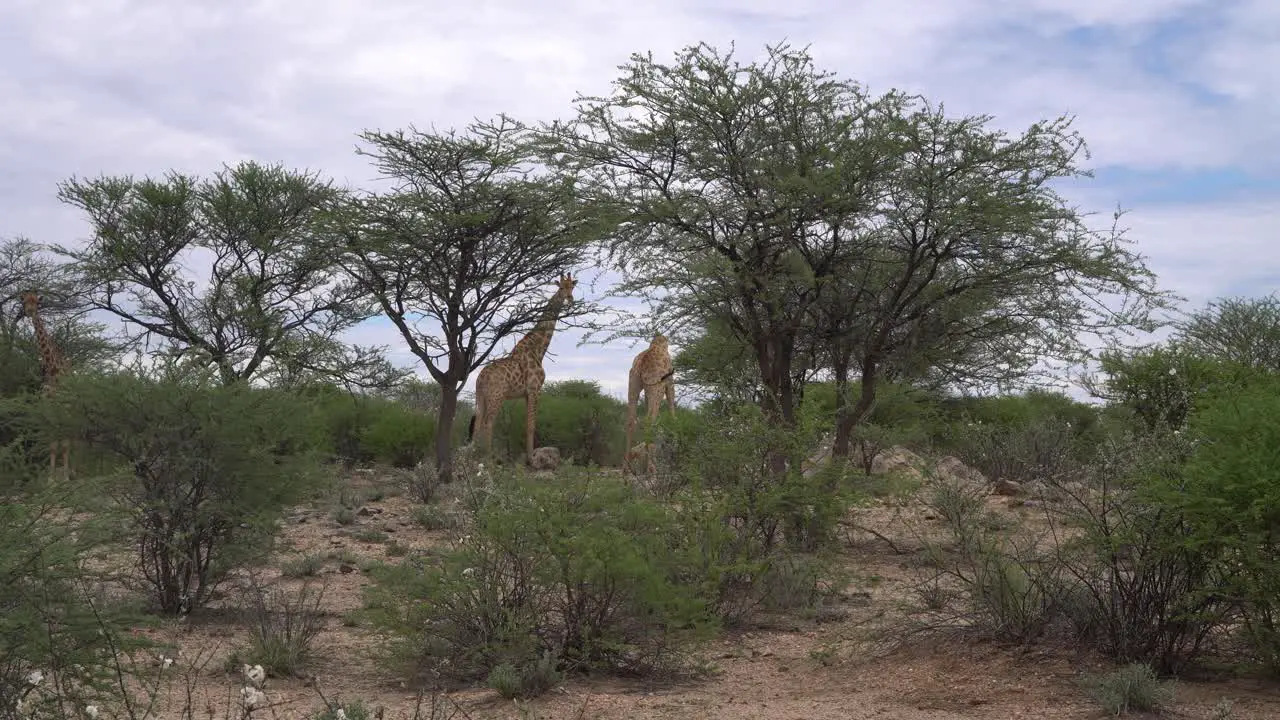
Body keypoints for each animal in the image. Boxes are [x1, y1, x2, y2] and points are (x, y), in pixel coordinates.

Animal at [17, 288, 72, 479]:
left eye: (37, 301)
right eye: (24, 301)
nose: (29, 311)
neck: (53, 369)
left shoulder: (63, 407)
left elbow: (64, 442)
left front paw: (65, 478)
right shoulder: (48, 407)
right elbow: (52, 443)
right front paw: (51, 479)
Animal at [465, 271, 576, 461]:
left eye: (572, 287)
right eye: (561, 287)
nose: (570, 299)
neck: (538, 349)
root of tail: (480, 379)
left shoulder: (525, 394)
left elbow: (526, 424)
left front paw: (529, 456)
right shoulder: (534, 389)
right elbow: (531, 425)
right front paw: (531, 458)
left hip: (481, 397)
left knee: (478, 422)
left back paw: (473, 456)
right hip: (497, 396)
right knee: (488, 423)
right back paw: (488, 458)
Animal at [622, 333, 675, 474]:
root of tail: (641, 364)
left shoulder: (647, 390)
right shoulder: (669, 382)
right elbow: (672, 410)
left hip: (634, 383)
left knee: (631, 420)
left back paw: (627, 468)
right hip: (656, 386)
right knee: (649, 420)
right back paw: (651, 468)